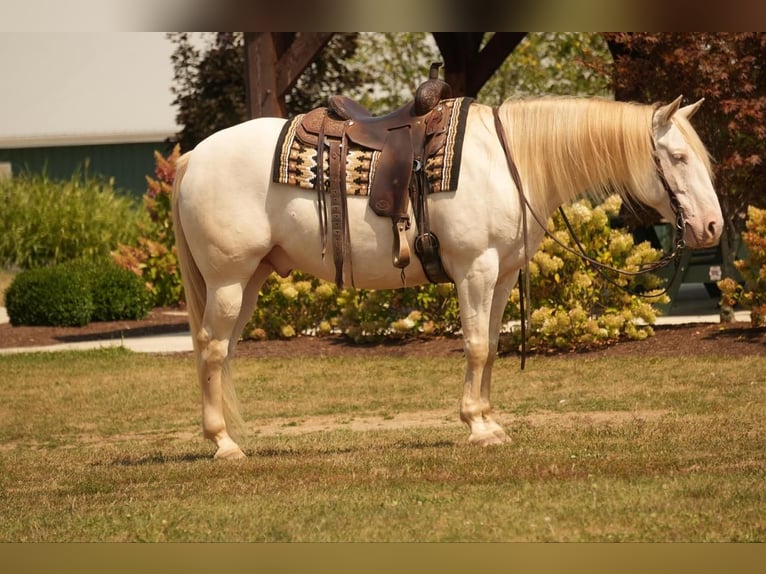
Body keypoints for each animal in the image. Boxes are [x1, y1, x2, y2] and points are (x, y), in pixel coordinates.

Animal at [171, 97, 724, 462]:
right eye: (678, 158)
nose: (712, 227)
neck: (509, 163)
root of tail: (194, 157)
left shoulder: (502, 275)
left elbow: (492, 348)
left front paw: (490, 422)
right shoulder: (475, 268)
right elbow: (476, 346)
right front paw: (476, 427)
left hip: (249, 281)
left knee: (219, 351)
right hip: (228, 280)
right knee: (213, 349)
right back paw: (223, 444)